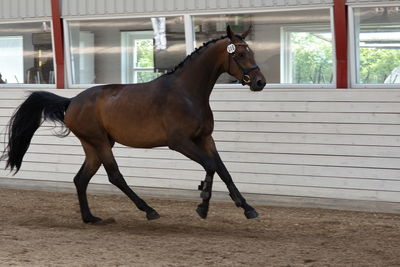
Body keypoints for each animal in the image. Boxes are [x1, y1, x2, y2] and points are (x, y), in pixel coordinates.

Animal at [3, 26, 268, 224]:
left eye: (252, 53)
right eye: (240, 55)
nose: (260, 82)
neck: (187, 92)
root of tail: (72, 101)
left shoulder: (205, 138)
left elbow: (223, 169)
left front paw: (247, 208)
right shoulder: (180, 142)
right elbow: (210, 165)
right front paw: (202, 204)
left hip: (93, 146)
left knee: (81, 179)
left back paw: (90, 218)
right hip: (100, 143)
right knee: (115, 176)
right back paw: (149, 210)